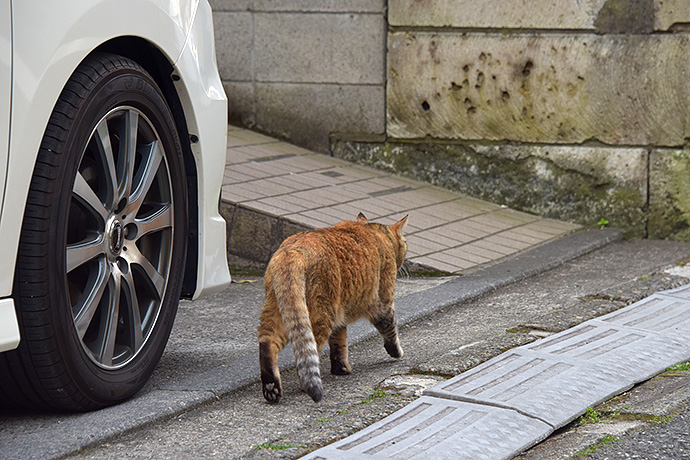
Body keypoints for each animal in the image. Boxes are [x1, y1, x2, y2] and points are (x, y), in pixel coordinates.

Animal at [258, 212, 408, 402]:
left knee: (267, 342)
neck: (374, 231)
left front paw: (340, 368)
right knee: (306, 358)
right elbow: (391, 330)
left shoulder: (340, 315)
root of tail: (293, 250)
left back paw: (271, 388)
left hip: (281, 310)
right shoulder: (384, 302)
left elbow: (339, 343)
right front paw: (396, 352)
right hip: (320, 316)